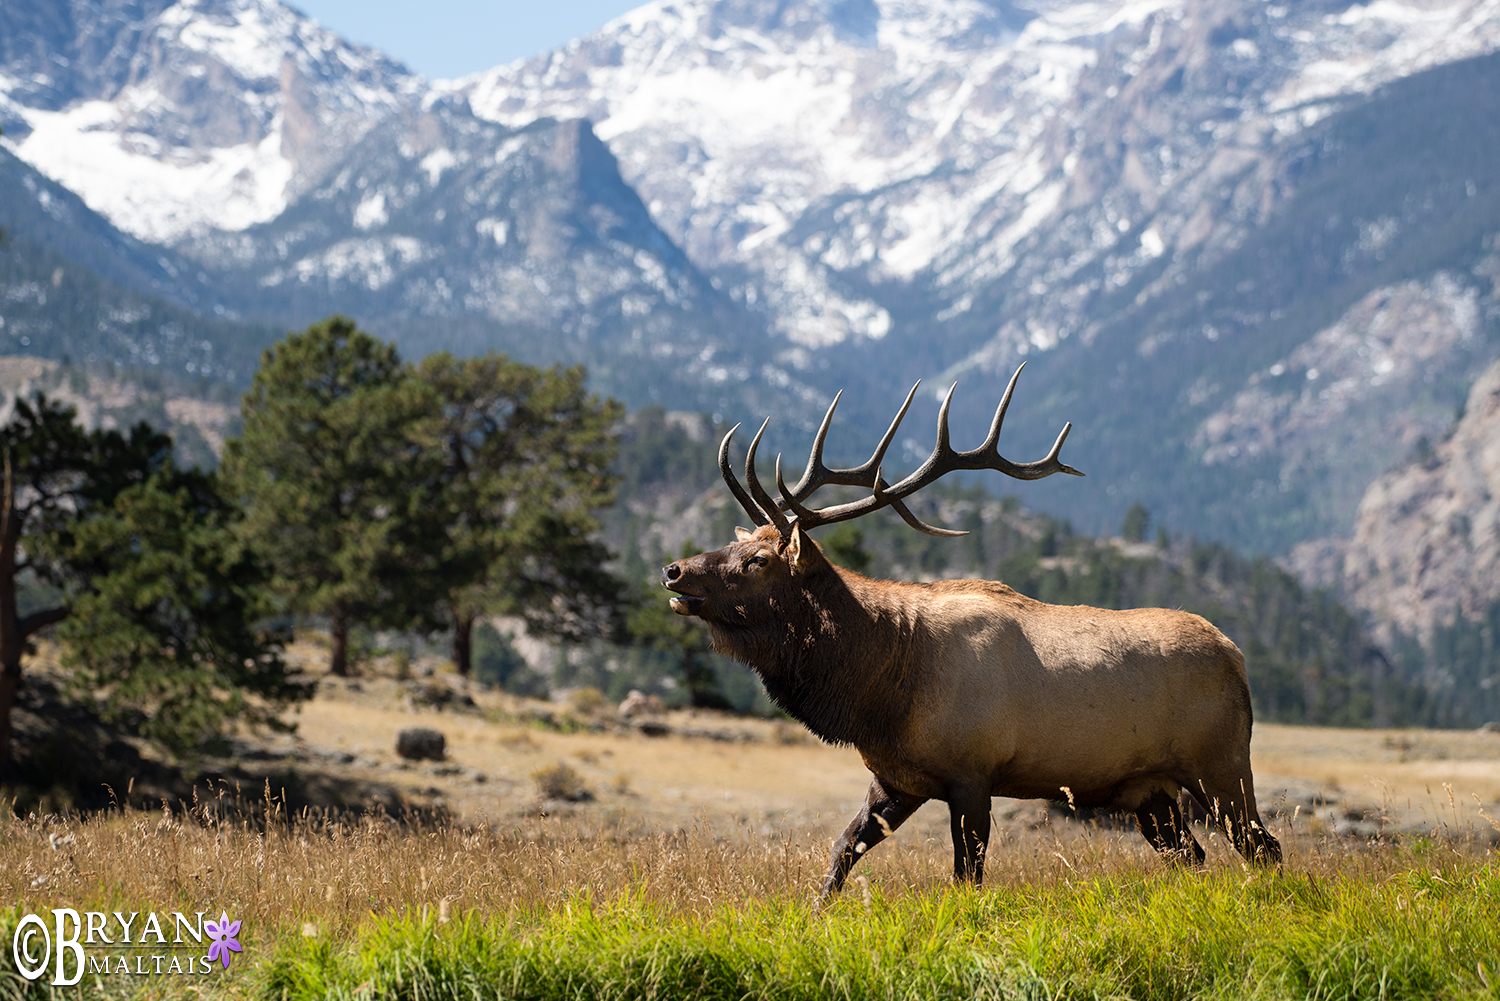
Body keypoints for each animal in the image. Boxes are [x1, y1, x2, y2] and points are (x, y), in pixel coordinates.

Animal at [663, 367, 1284, 900]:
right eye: (739, 544)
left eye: (758, 561)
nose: (673, 570)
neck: (880, 689)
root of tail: (1237, 656)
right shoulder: (898, 779)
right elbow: (841, 850)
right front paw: (814, 915)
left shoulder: (972, 773)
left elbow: (967, 877)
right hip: (1151, 792)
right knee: (1194, 856)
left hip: (1220, 766)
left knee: (1264, 847)